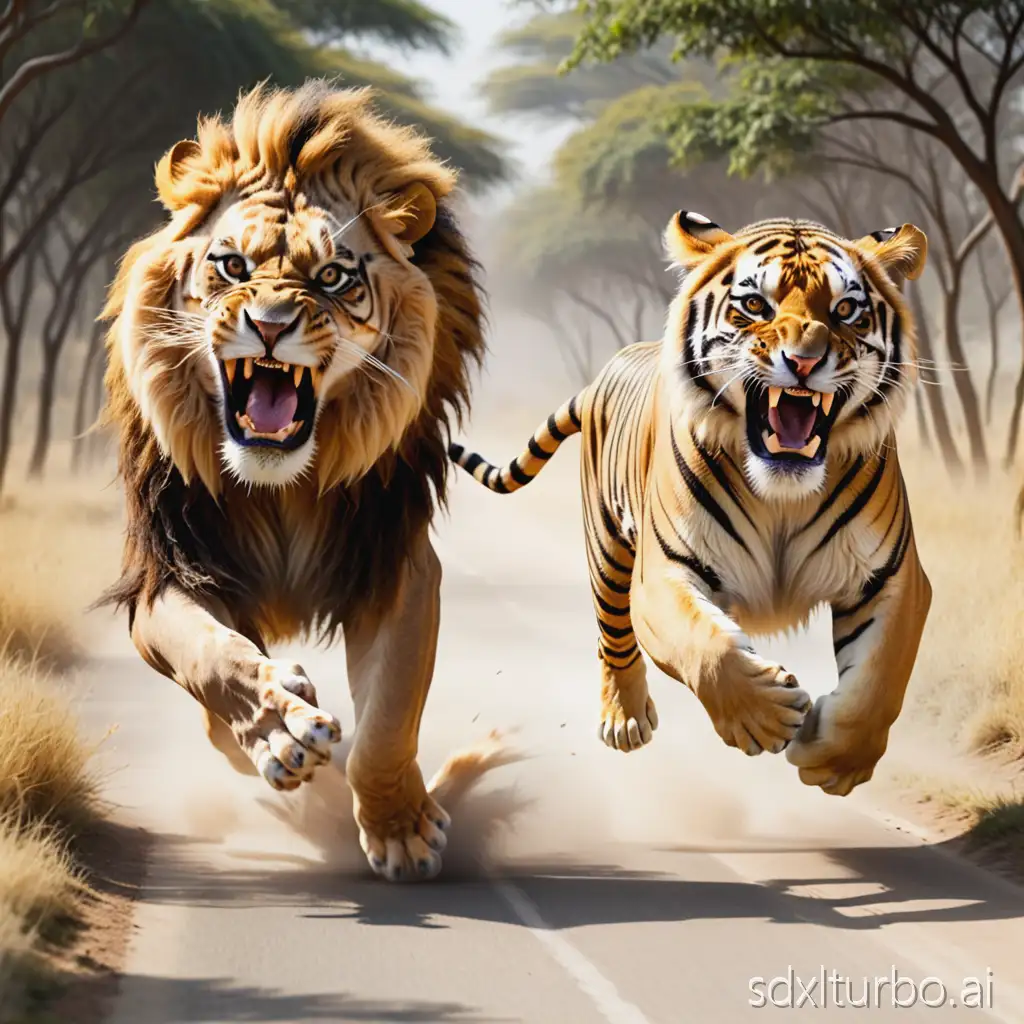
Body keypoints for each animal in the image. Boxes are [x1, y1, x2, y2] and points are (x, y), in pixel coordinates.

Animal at [100, 82, 485, 881]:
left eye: (332, 276)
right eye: (231, 267)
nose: (271, 324)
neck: (283, 490)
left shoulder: (398, 570)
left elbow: (387, 720)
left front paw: (400, 826)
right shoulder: (168, 570)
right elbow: (214, 656)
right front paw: (280, 727)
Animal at [450, 211, 931, 797]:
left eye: (845, 310)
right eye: (756, 305)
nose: (804, 361)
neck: (783, 497)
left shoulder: (894, 577)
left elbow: (879, 678)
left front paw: (836, 758)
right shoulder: (662, 572)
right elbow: (708, 648)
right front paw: (765, 716)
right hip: (607, 550)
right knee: (612, 635)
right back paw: (624, 719)